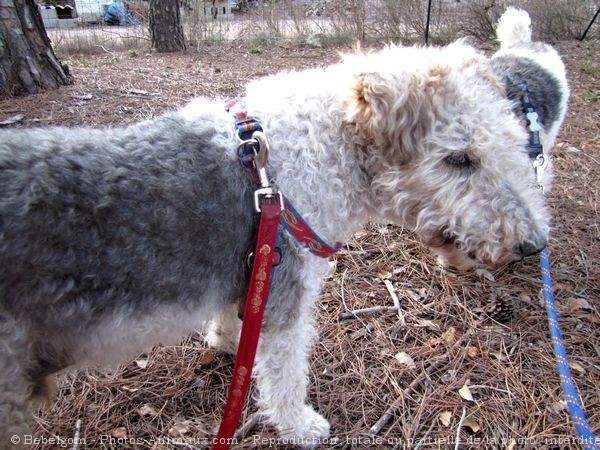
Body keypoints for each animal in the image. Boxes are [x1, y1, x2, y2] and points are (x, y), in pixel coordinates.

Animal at [0, 37, 556, 446]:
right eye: (458, 158)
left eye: (512, 144)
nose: (532, 245)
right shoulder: (286, 295)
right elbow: (286, 376)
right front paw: (302, 426)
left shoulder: (254, 273)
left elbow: (231, 319)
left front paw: (225, 343)